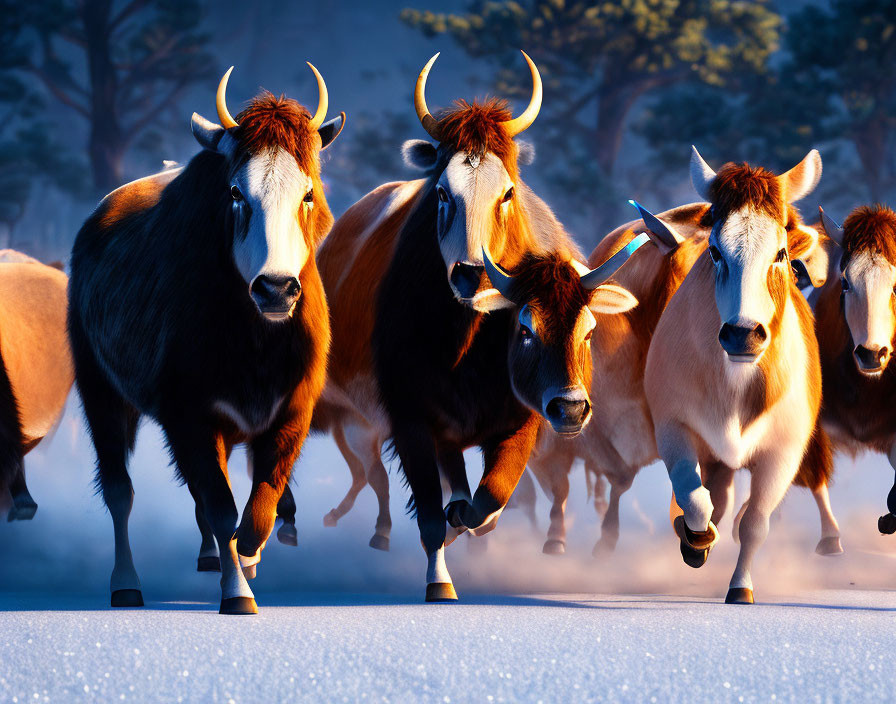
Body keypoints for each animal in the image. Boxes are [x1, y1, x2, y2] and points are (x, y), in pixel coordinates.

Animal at [66, 66, 344, 616]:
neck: (257, 343)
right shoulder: (188, 414)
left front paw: (249, 556)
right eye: (236, 192)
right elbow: (220, 505)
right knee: (120, 490)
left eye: (307, 192)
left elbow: (260, 502)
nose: (275, 288)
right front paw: (238, 593)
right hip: (99, 390)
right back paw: (126, 585)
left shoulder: (292, 411)